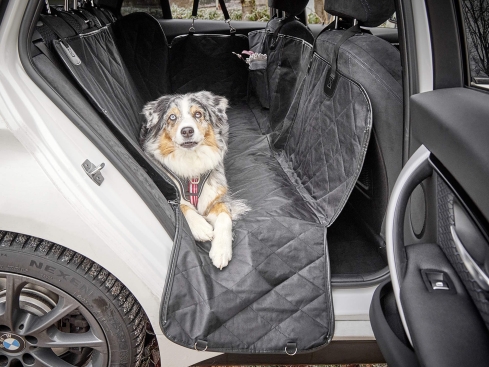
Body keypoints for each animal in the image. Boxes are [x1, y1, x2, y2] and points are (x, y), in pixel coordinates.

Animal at [140, 92, 248, 270]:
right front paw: (201, 227)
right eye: (172, 117)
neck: (191, 161)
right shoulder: (170, 190)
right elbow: (183, 206)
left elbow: (225, 217)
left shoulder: (216, 196)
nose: (187, 131)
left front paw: (221, 251)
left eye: (198, 114)